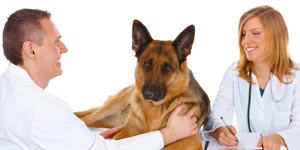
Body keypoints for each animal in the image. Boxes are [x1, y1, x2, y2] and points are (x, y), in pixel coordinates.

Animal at [75, 19, 211, 150]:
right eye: (147, 64)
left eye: (168, 68)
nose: (150, 94)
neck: (154, 107)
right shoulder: (125, 133)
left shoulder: (191, 139)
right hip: (111, 107)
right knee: (87, 118)